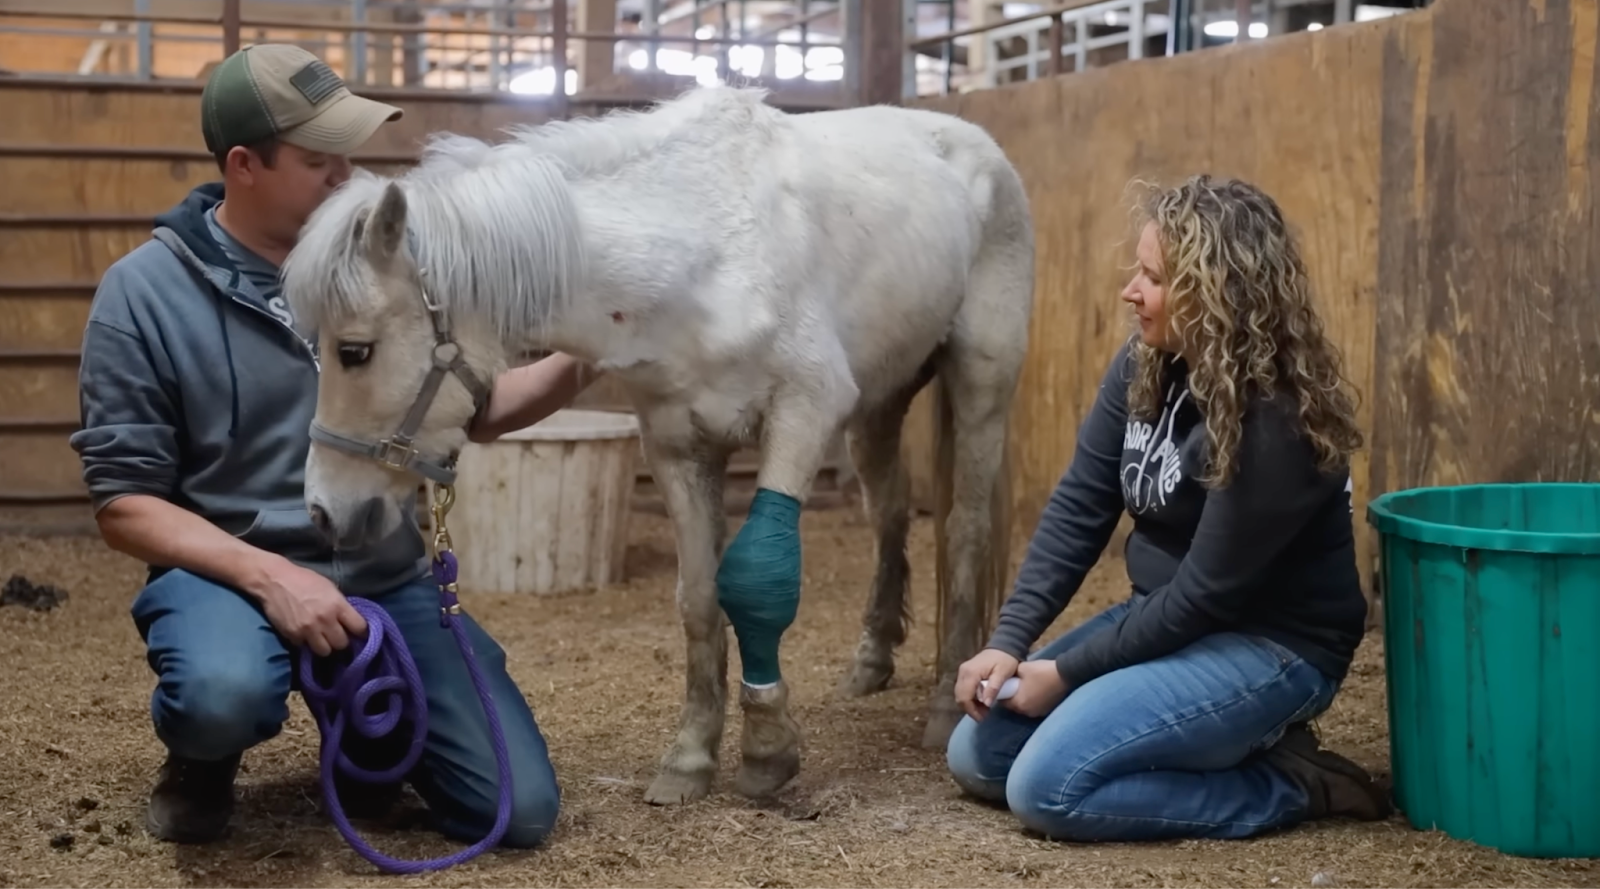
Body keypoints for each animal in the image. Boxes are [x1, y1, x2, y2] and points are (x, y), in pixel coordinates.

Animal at [280, 85, 1035, 806]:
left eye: (354, 350)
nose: (323, 510)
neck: (703, 257)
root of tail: (979, 146)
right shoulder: (677, 446)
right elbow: (698, 599)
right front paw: (691, 757)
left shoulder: (803, 413)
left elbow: (756, 577)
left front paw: (766, 751)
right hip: (879, 402)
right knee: (891, 515)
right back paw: (873, 659)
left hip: (981, 380)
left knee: (964, 531)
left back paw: (947, 701)